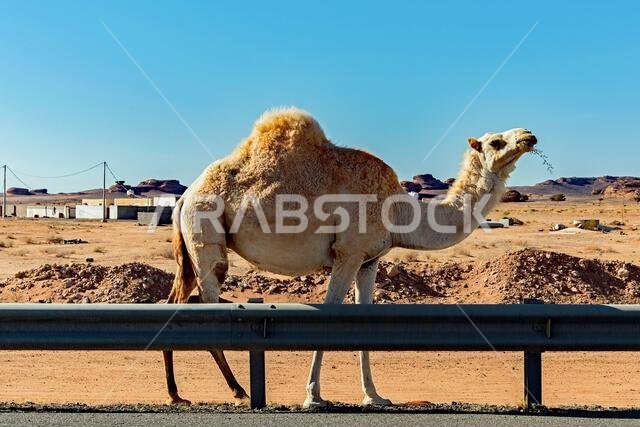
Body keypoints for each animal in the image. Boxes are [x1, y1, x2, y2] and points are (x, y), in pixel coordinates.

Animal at [163, 107, 537, 407]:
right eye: (495, 142)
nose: (529, 135)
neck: (399, 211)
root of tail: (185, 196)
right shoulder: (348, 254)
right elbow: (330, 315)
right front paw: (313, 396)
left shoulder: (369, 261)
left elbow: (364, 321)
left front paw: (375, 396)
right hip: (206, 235)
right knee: (205, 300)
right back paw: (238, 390)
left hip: (189, 248)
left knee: (173, 303)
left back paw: (177, 393)